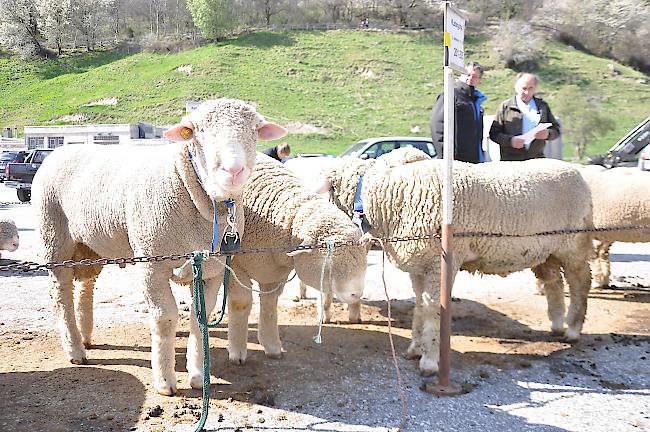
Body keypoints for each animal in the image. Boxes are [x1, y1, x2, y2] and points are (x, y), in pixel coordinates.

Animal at [30, 98, 284, 394]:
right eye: (198, 131)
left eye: (255, 131)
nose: (233, 171)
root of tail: (60, 150)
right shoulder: (152, 265)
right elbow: (164, 318)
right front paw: (165, 380)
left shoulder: (209, 268)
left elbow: (200, 318)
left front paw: (198, 375)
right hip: (54, 237)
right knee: (60, 294)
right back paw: (75, 350)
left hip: (89, 246)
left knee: (85, 286)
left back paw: (85, 337)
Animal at [224, 154, 364, 362]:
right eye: (329, 264)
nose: (357, 294)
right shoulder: (235, 266)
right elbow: (241, 303)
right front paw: (237, 351)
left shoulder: (274, 272)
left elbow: (270, 304)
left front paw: (272, 345)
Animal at [316, 150, 596, 376]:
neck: (390, 196)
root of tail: (578, 173)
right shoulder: (420, 264)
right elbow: (420, 305)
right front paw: (416, 347)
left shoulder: (438, 263)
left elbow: (433, 309)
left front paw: (429, 360)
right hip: (548, 251)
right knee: (554, 283)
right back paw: (557, 325)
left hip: (574, 244)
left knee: (580, 281)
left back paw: (573, 329)